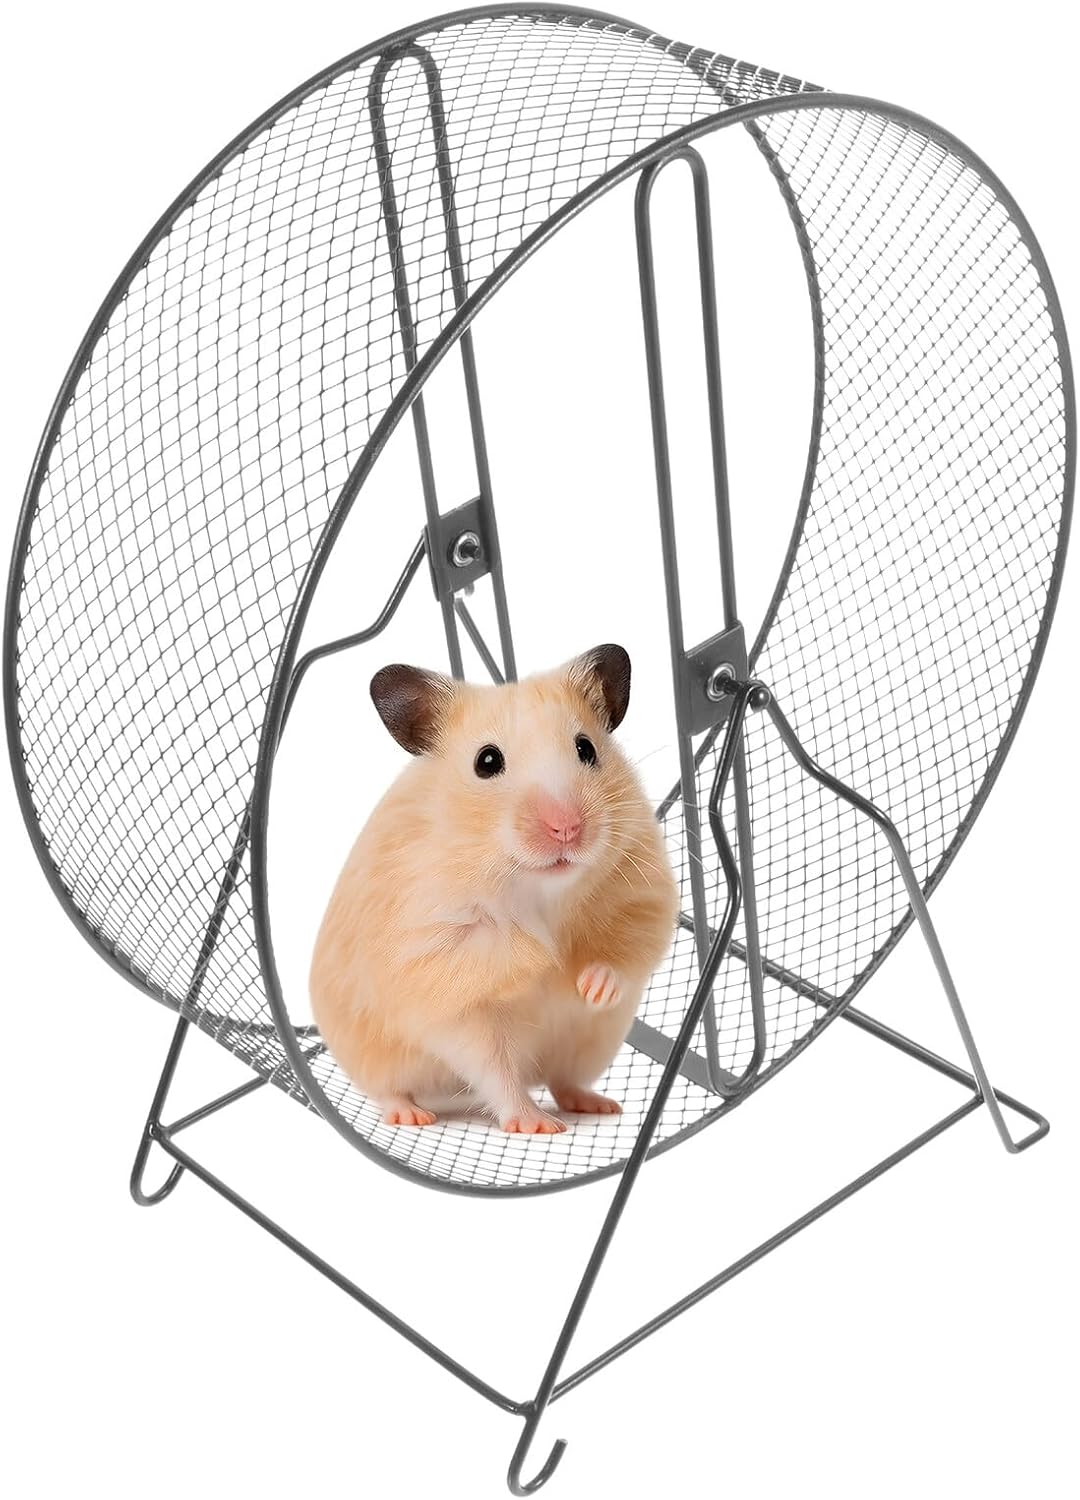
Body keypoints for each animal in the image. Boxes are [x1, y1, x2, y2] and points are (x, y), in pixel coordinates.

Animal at [309, 644, 679, 1133]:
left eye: (586, 748)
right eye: (487, 761)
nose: (567, 829)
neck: (537, 889)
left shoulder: (641, 891)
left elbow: (623, 952)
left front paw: (588, 985)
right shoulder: (446, 978)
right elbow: (495, 1062)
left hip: (589, 1043)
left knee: (562, 1079)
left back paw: (599, 1104)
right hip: (372, 1056)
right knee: (391, 1090)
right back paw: (415, 1115)